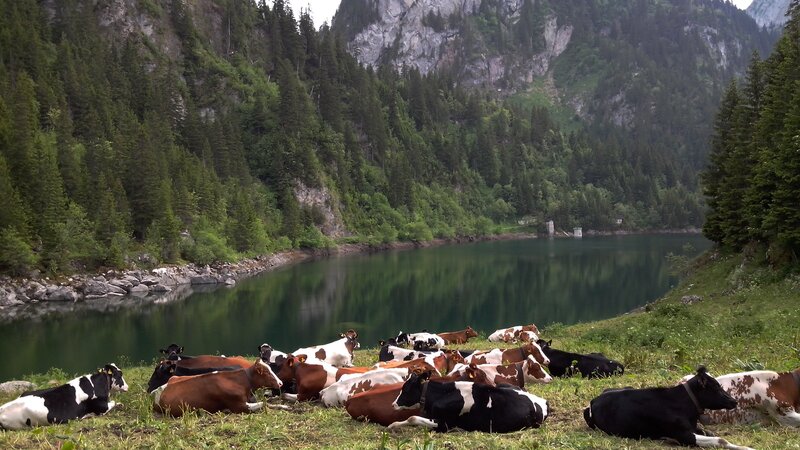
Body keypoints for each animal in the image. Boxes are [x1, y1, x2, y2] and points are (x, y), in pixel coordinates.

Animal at [387, 371, 549, 433]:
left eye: (406, 389)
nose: (393, 404)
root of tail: (542, 400)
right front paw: (393, 425)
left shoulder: (444, 424)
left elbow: (412, 417)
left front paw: (392, 425)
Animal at [584, 366, 753, 450]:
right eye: (716, 388)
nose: (734, 401)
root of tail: (595, 399)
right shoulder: (683, 435)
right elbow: (720, 440)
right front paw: (746, 448)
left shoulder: (693, 427)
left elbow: (712, 434)